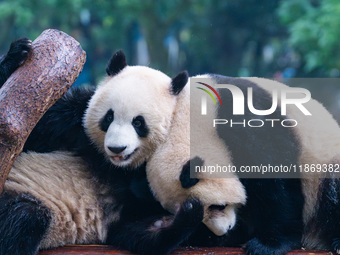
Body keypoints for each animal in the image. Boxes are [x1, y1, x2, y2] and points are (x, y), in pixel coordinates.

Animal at [0, 38, 205, 255]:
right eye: (109, 117)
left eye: (138, 123)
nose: (117, 148)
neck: (116, 168)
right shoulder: (72, 122)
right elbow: (31, 127)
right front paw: (16, 54)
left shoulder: (132, 209)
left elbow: (145, 233)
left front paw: (191, 206)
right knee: (23, 221)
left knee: (24, 217)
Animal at [147, 74, 340, 254]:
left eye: (218, 205)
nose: (223, 231)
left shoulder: (247, 123)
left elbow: (274, 183)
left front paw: (268, 244)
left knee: (331, 191)